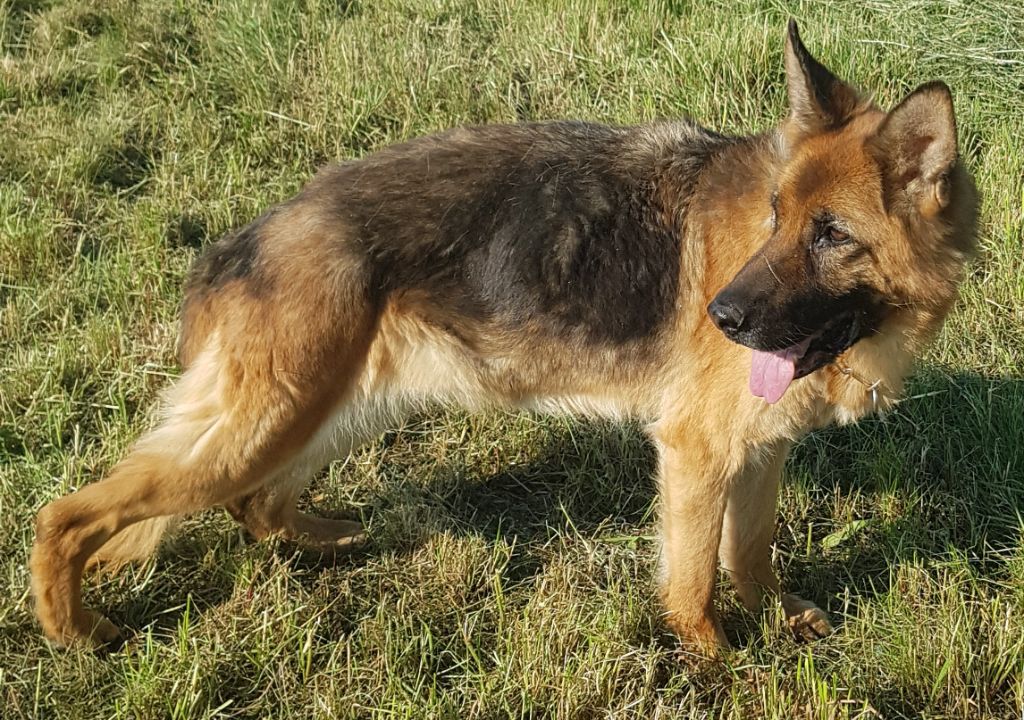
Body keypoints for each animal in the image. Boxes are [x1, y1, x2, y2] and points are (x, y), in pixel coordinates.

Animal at [29, 21, 974, 655]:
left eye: (830, 235)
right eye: (776, 219)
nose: (721, 317)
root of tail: (249, 239)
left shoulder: (759, 452)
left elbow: (752, 552)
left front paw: (775, 618)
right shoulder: (697, 455)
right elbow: (695, 576)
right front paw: (714, 659)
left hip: (330, 408)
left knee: (256, 503)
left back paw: (324, 538)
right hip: (270, 420)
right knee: (68, 515)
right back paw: (74, 629)